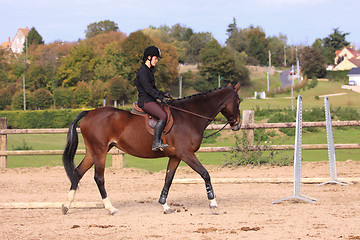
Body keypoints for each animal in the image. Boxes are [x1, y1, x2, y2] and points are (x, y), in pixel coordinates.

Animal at [62, 82, 242, 214]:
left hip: (92, 152)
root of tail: (89, 112)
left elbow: (168, 179)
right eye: (238, 101)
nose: (237, 125)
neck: (189, 116)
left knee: (77, 173)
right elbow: (205, 174)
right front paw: (213, 203)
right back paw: (110, 208)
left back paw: (66, 206)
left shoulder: (176, 156)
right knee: (99, 178)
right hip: (99, 152)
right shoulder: (187, 154)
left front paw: (165, 205)